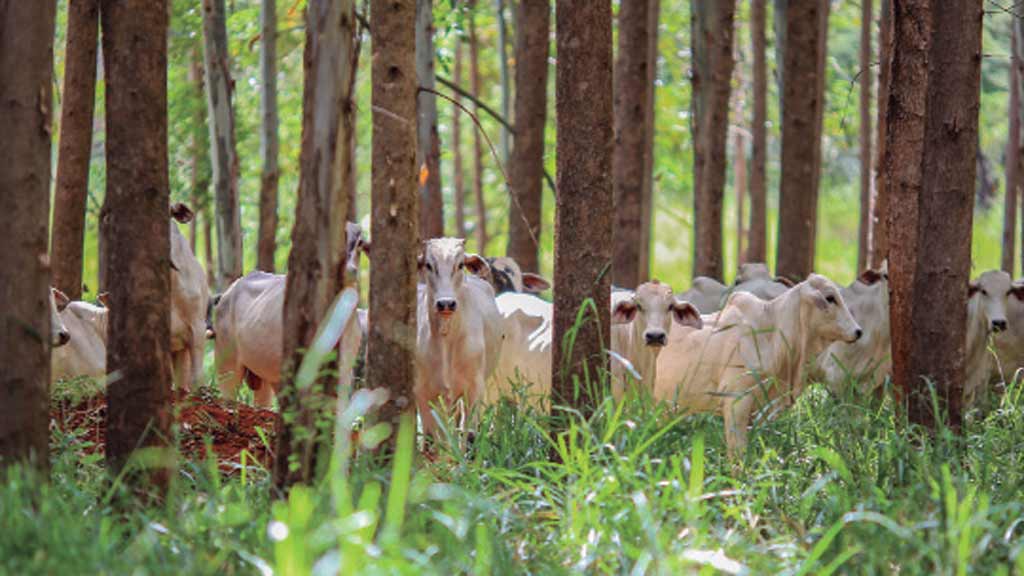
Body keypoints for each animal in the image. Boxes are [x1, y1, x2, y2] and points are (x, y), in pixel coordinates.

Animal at [415, 235, 503, 432]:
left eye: (460, 264)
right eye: (429, 265)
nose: (446, 303)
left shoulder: (474, 388)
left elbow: (469, 433)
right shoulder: (424, 393)